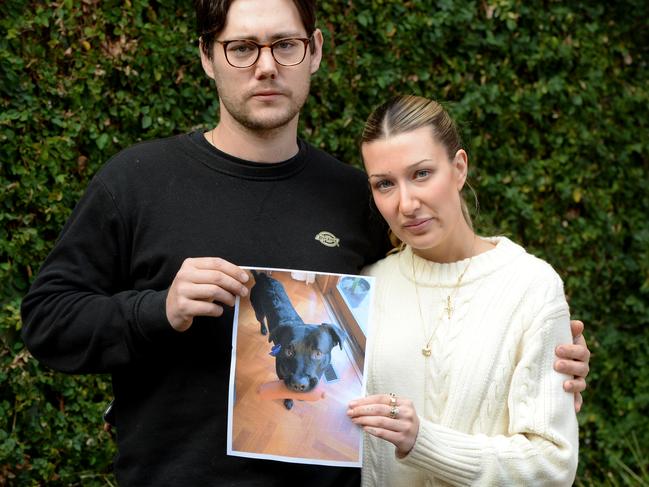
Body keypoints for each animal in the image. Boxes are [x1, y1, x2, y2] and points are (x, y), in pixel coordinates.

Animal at [248, 270, 344, 412]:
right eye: (288, 352)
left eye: (318, 354)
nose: (299, 384)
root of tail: (262, 278)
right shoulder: (282, 376)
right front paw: (288, 400)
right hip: (258, 310)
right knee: (260, 319)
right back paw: (264, 329)